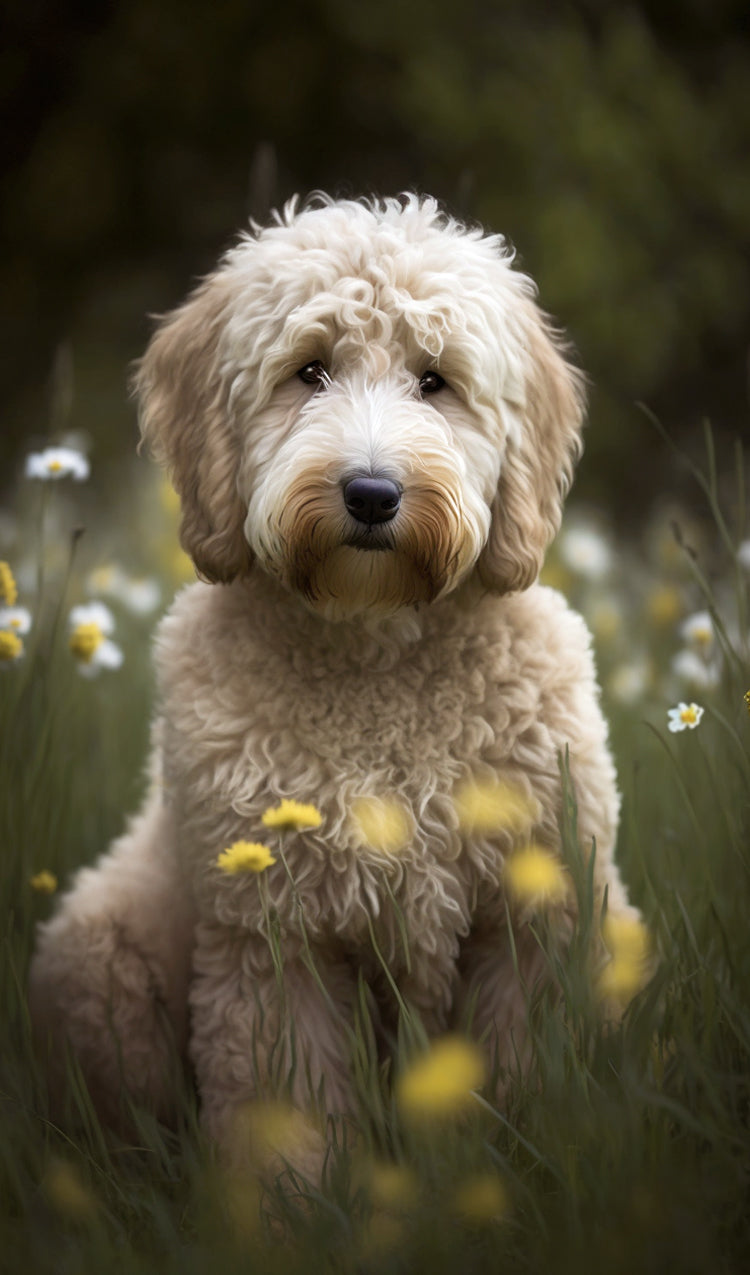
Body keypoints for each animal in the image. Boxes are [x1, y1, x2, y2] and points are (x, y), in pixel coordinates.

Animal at [27, 193, 637, 1178]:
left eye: (436, 381)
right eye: (308, 370)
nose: (372, 493)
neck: (375, 658)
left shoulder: (535, 914)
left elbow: (524, 1079)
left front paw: (521, 1172)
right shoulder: (274, 938)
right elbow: (286, 1108)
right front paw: (288, 1203)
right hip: (94, 958)